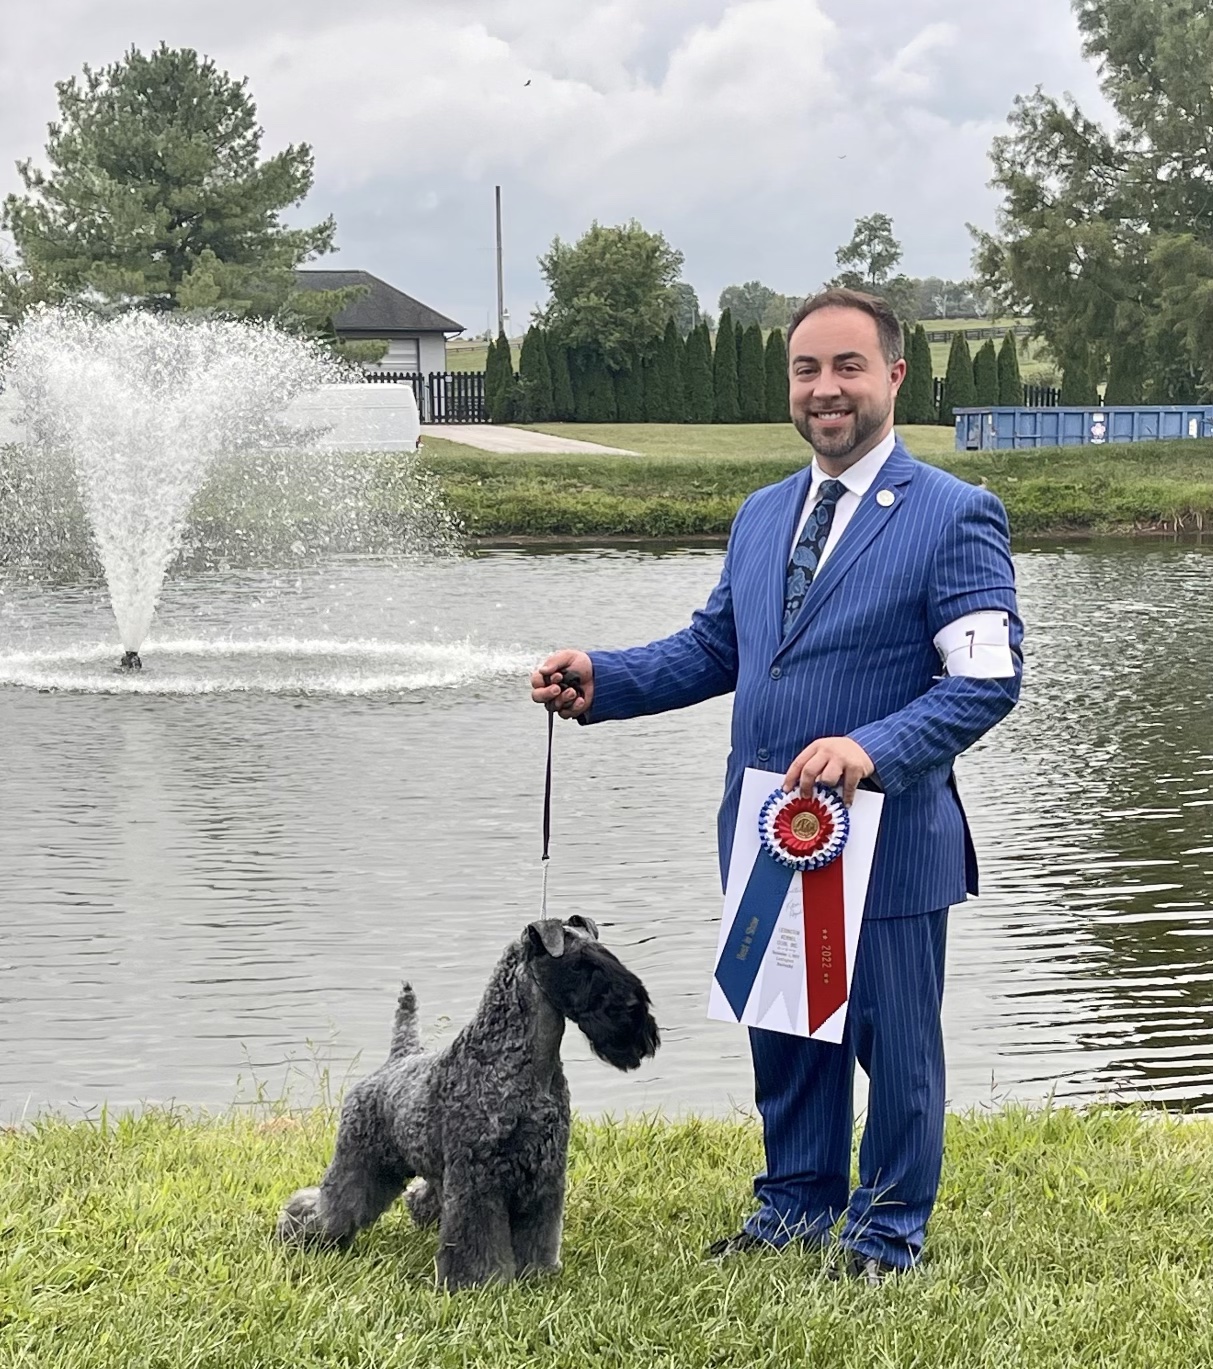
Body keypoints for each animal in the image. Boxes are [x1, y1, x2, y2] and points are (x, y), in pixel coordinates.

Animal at [276, 915, 659, 1288]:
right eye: (581, 964)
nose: (635, 1009)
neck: (517, 1060)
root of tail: (398, 1058)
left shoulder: (544, 1174)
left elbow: (539, 1232)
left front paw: (537, 1273)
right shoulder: (478, 1180)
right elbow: (476, 1238)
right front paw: (478, 1282)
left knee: (418, 1194)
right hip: (361, 1161)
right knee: (328, 1204)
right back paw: (300, 1233)